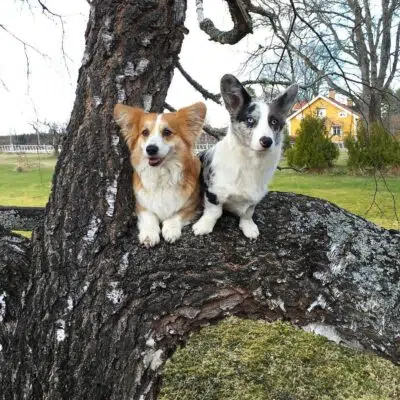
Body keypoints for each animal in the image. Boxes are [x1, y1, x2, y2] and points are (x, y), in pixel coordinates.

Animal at [113, 102, 205, 247]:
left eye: (167, 132)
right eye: (145, 132)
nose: (150, 149)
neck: (161, 173)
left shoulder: (192, 206)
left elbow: (176, 215)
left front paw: (171, 230)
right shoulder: (141, 204)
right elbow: (149, 216)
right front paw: (149, 235)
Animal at [192, 74, 298, 239]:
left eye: (274, 122)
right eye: (250, 120)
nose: (267, 141)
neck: (251, 161)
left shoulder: (254, 197)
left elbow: (248, 213)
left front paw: (249, 228)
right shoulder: (213, 192)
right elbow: (214, 212)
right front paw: (203, 227)